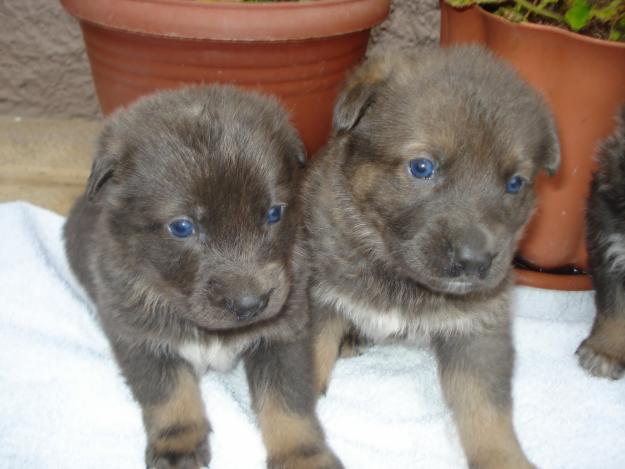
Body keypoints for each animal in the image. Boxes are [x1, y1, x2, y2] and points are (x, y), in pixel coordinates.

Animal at [64, 85, 342, 468]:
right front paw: (178, 444)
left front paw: (303, 456)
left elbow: (288, 405)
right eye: (182, 227)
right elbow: (169, 395)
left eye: (274, 213)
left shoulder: (285, 333)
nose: (250, 304)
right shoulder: (139, 337)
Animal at [300, 46, 560, 468]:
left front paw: (505, 458)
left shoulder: (478, 328)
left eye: (514, 183)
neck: (397, 274)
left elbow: (487, 412)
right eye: (422, 167)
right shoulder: (317, 298)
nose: (475, 261)